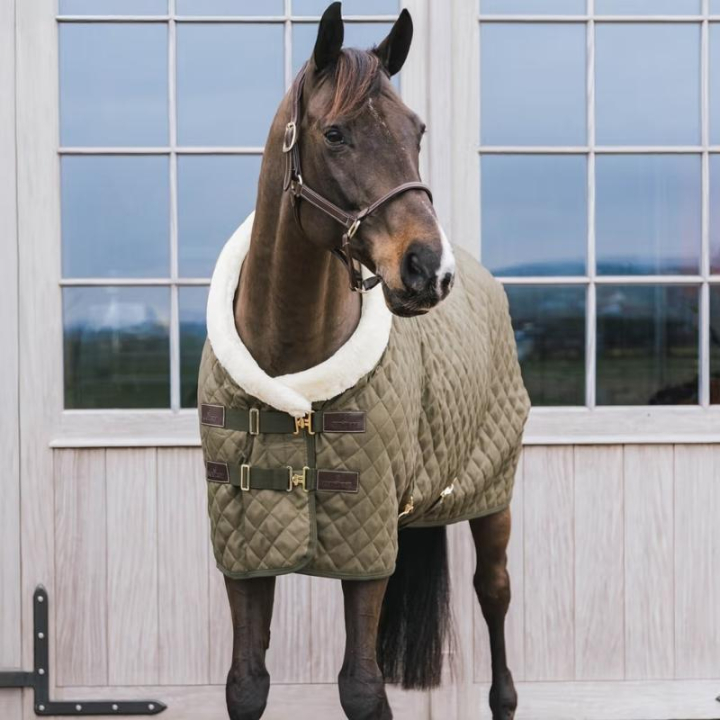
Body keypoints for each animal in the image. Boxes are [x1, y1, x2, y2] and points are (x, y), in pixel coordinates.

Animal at [198, 4, 529, 719]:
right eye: (335, 133)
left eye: (416, 130)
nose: (429, 270)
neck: (291, 377)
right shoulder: (244, 548)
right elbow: (247, 682)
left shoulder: (367, 537)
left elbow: (363, 687)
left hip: (493, 495)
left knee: (494, 593)